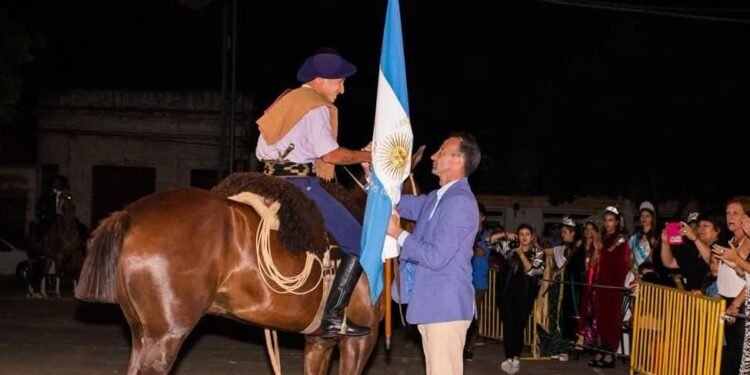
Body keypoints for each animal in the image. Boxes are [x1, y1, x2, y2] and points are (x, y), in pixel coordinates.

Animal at [78, 148, 428, 375]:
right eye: (417, 184)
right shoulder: (359, 341)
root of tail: (130, 215)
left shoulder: (319, 342)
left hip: (142, 333)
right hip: (164, 336)